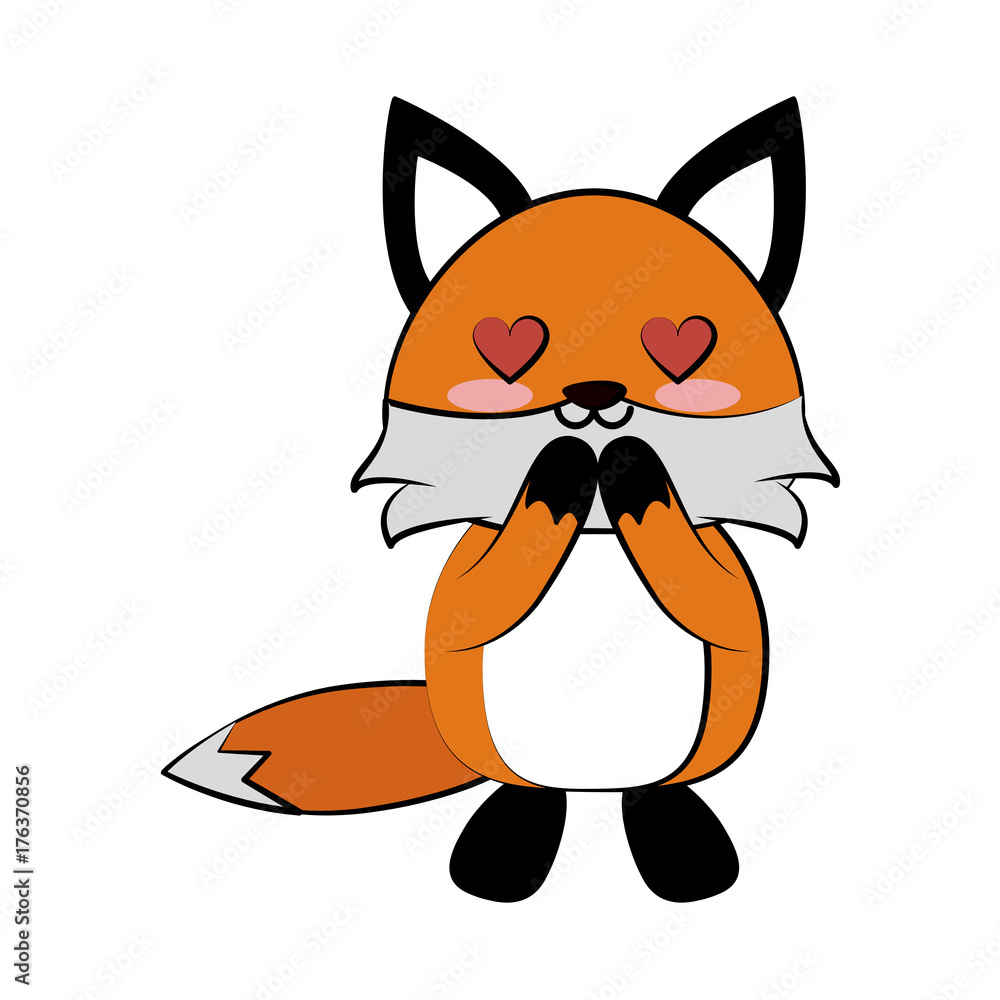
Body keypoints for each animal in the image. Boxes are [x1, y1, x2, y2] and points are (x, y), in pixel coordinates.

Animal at [164, 96, 838, 903]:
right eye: (513, 351)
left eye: (678, 349)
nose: (595, 396)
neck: (597, 536)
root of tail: (591, 785)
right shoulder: (470, 581)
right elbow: (490, 585)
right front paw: (566, 469)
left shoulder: (725, 585)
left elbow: (705, 590)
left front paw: (628, 467)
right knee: (528, 794)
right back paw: (504, 856)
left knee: (652, 794)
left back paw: (681, 854)